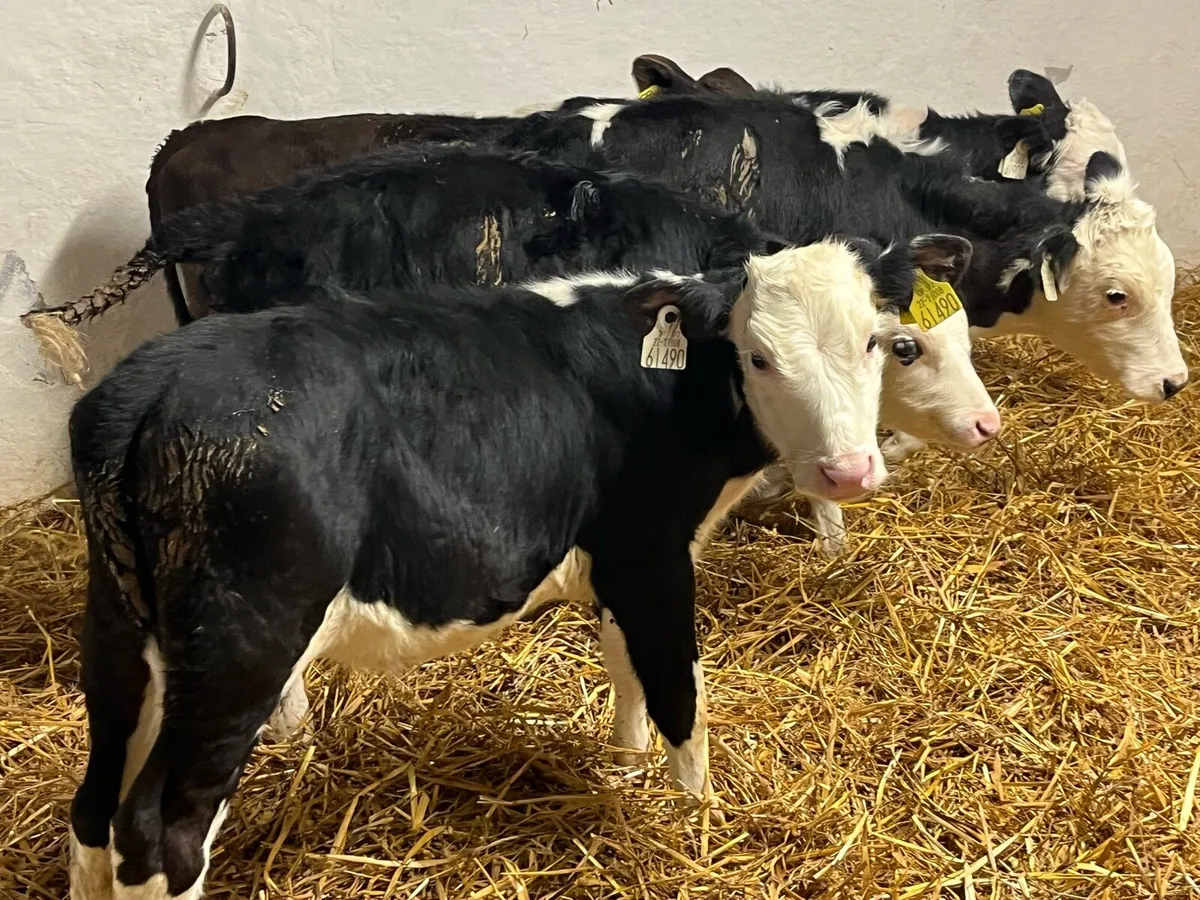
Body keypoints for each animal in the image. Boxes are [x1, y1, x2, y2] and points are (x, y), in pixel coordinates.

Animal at [67, 241, 930, 898]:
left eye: (874, 341)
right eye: (759, 356)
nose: (850, 471)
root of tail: (149, 386)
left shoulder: (616, 564)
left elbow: (624, 668)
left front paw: (624, 767)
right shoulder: (652, 556)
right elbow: (679, 692)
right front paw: (697, 822)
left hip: (123, 635)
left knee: (94, 807)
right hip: (241, 646)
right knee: (160, 833)